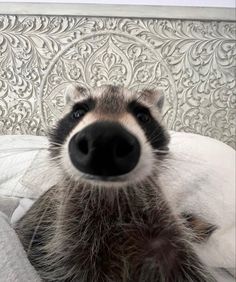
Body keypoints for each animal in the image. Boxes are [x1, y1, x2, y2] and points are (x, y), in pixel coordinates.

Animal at [15, 85, 216, 282]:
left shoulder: (167, 236)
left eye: (143, 116)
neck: (112, 196)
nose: (104, 140)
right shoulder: (67, 242)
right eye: (78, 113)